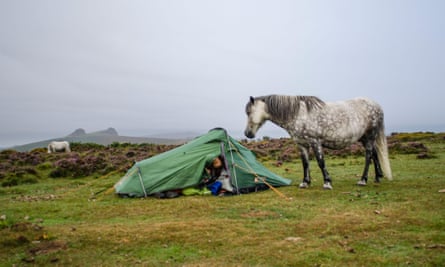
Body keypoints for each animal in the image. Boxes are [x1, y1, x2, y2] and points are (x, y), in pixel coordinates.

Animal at [243, 95, 392, 189]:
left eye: (249, 112)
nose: (247, 133)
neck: (298, 114)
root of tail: (376, 106)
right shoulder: (302, 145)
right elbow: (305, 164)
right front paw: (305, 183)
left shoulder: (315, 142)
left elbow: (321, 162)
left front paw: (327, 183)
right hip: (365, 139)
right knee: (374, 154)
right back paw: (377, 177)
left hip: (370, 137)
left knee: (368, 156)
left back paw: (363, 180)